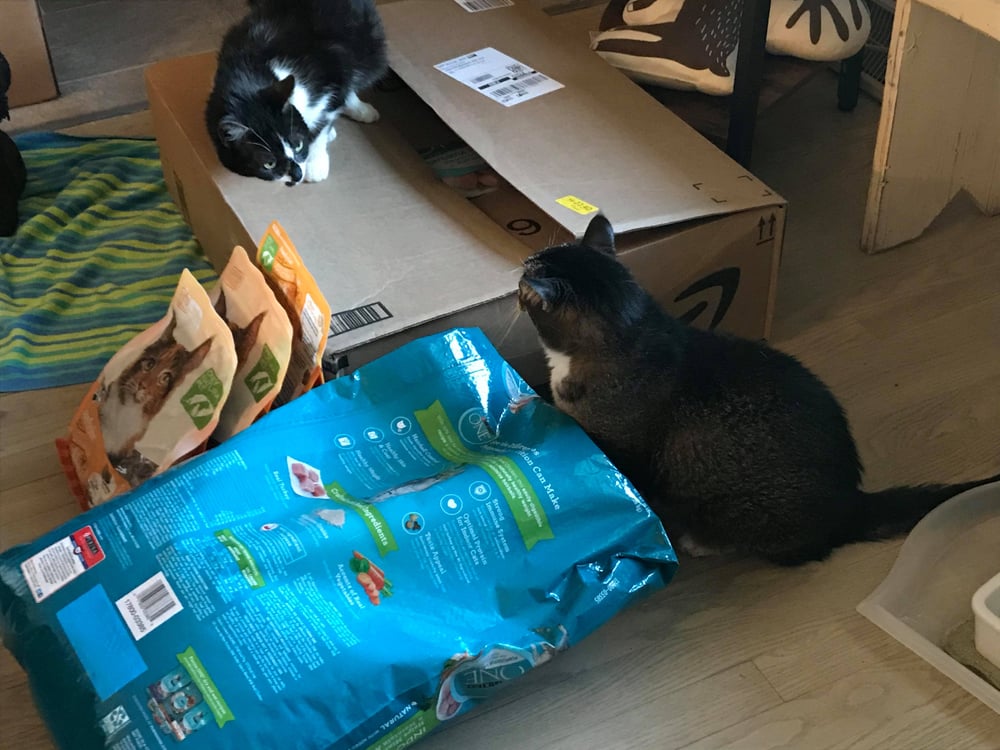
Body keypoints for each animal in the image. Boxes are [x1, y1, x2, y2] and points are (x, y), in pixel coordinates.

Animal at [204, 0, 386, 184]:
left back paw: (361, 109)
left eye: (297, 144)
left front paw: (316, 164)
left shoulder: (333, 73)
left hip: (367, 42)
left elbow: (324, 122)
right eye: (268, 164)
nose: (296, 174)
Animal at [520, 214, 996, 568]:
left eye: (526, 282)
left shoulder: (623, 449)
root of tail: (850, 502)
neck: (628, 336)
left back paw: (704, 542)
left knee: (798, 552)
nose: (522, 266)